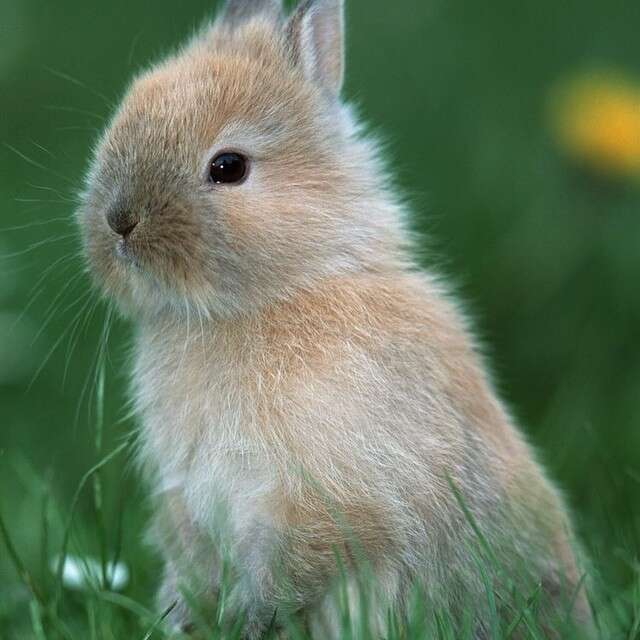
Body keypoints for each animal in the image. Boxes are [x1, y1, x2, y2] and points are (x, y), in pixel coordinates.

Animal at [77, 0, 592, 636]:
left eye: (228, 167)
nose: (119, 221)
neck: (281, 293)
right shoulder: (190, 502)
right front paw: (185, 616)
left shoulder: (320, 499)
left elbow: (290, 568)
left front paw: (243, 621)